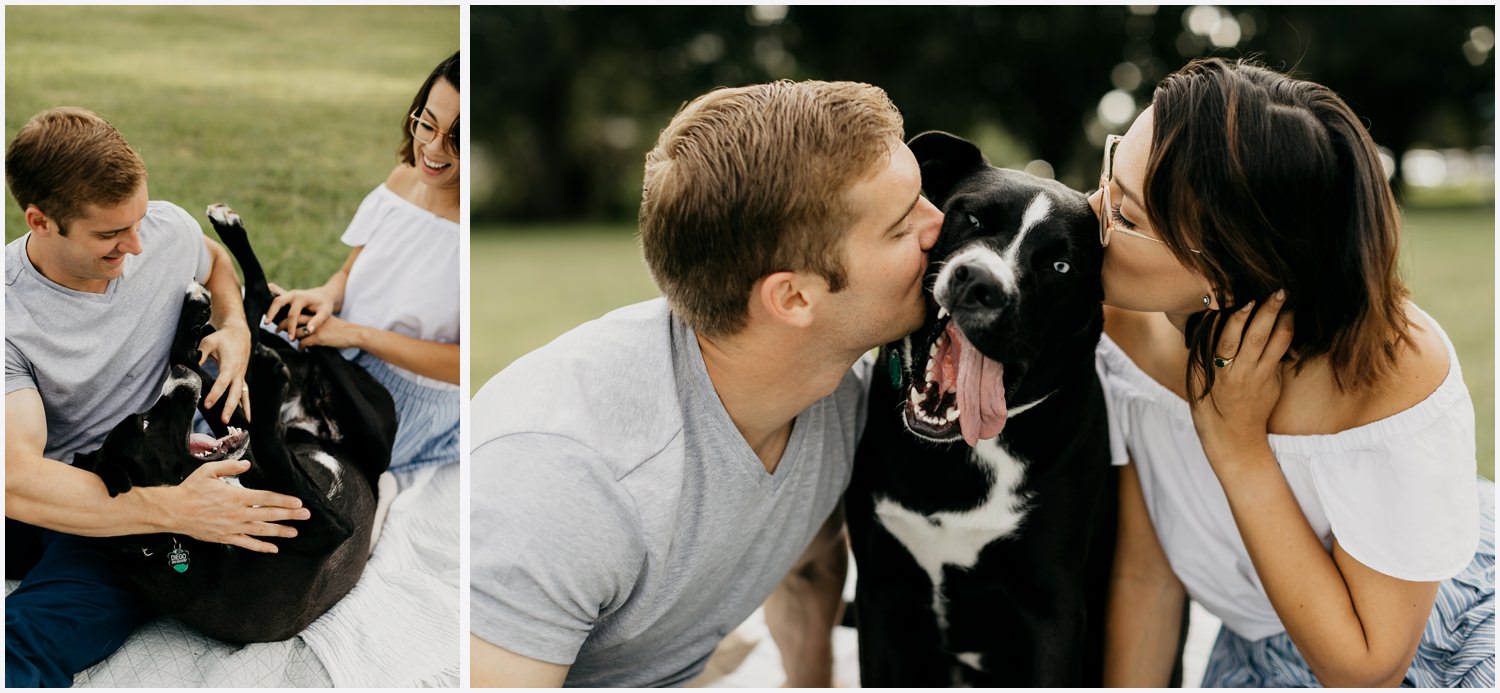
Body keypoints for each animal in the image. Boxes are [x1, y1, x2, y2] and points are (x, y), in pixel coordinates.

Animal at [73, 204, 396, 645]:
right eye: (145, 423)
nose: (174, 378)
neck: (171, 542)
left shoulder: (246, 445)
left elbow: (211, 368)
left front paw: (200, 323)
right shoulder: (326, 527)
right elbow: (269, 443)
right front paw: (266, 373)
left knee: (252, 325)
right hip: (371, 429)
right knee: (302, 347)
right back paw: (285, 333)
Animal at [846, 131, 1116, 687]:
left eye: (1060, 266)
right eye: (970, 219)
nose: (978, 283)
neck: (957, 458)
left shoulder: (1055, 613)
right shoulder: (878, 593)